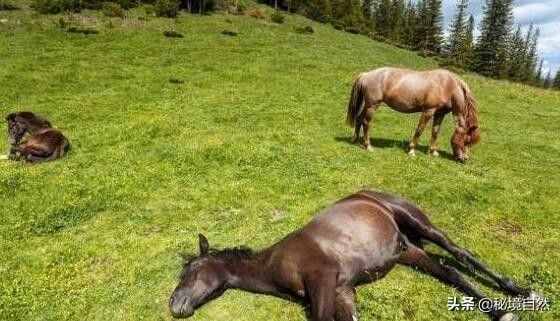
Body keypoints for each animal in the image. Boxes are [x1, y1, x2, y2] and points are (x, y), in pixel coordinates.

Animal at [168, 190, 536, 320]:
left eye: (191, 270)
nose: (175, 306)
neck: (275, 262)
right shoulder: (344, 290)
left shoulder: (324, 279)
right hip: (408, 251)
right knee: (451, 272)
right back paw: (502, 311)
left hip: (420, 225)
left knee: (460, 253)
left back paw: (518, 291)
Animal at [346, 68, 482, 162]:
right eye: (466, 140)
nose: (464, 159)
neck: (447, 86)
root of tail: (365, 75)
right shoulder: (428, 111)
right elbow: (419, 130)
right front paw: (411, 151)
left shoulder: (440, 114)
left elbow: (435, 132)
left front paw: (433, 152)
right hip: (372, 106)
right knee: (366, 123)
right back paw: (368, 146)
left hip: (367, 105)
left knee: (359, 119)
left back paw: (355, 140)